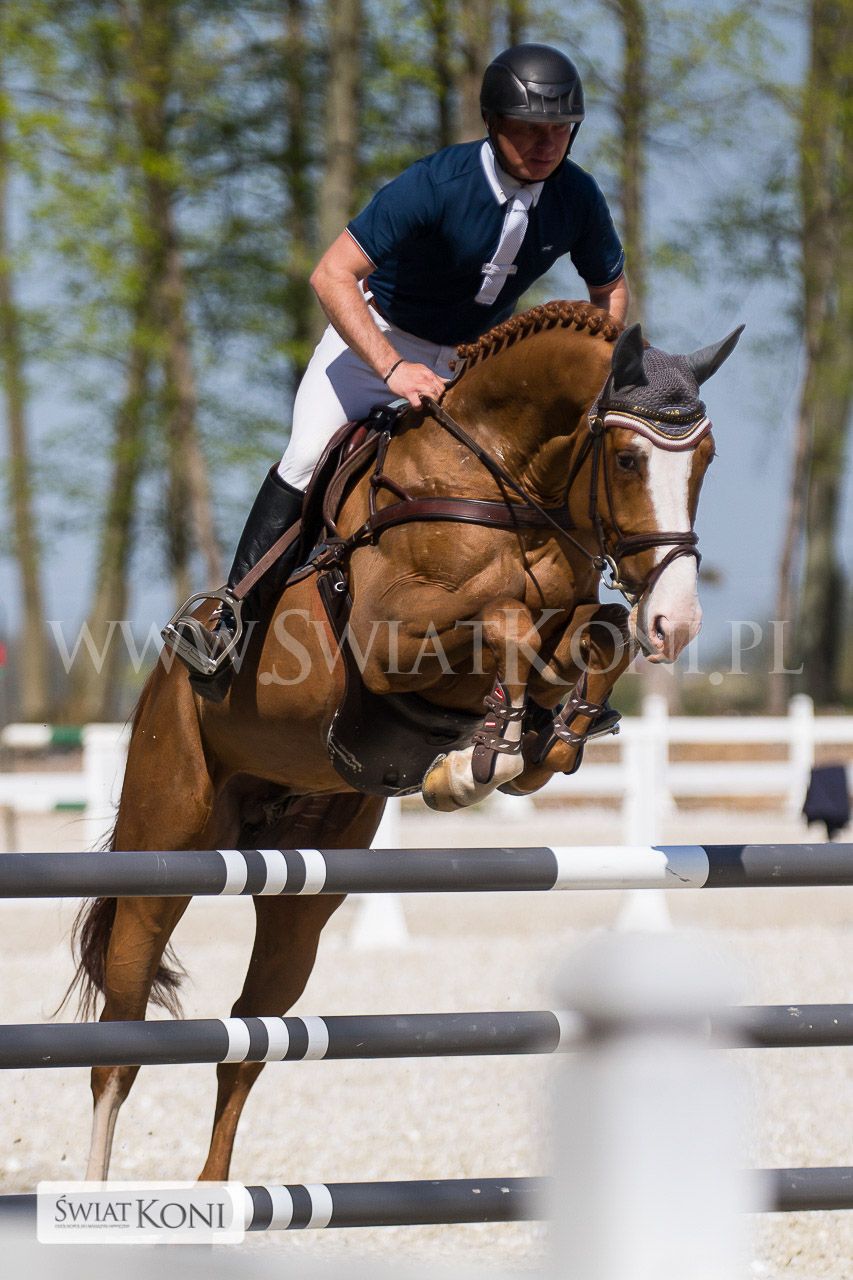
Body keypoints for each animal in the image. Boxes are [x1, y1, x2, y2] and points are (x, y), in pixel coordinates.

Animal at [69, 300, 741, 1182]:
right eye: (628, 459)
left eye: (705, 460)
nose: (678, 621)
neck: (500, 479)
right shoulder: (389, 637)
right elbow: (504, 618)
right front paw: (483, 758)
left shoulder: (562, 615)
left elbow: (592, 630)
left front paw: (547, 742)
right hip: (167, 839)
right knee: (120, 1039)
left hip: (306, 886)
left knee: (251, 1037)